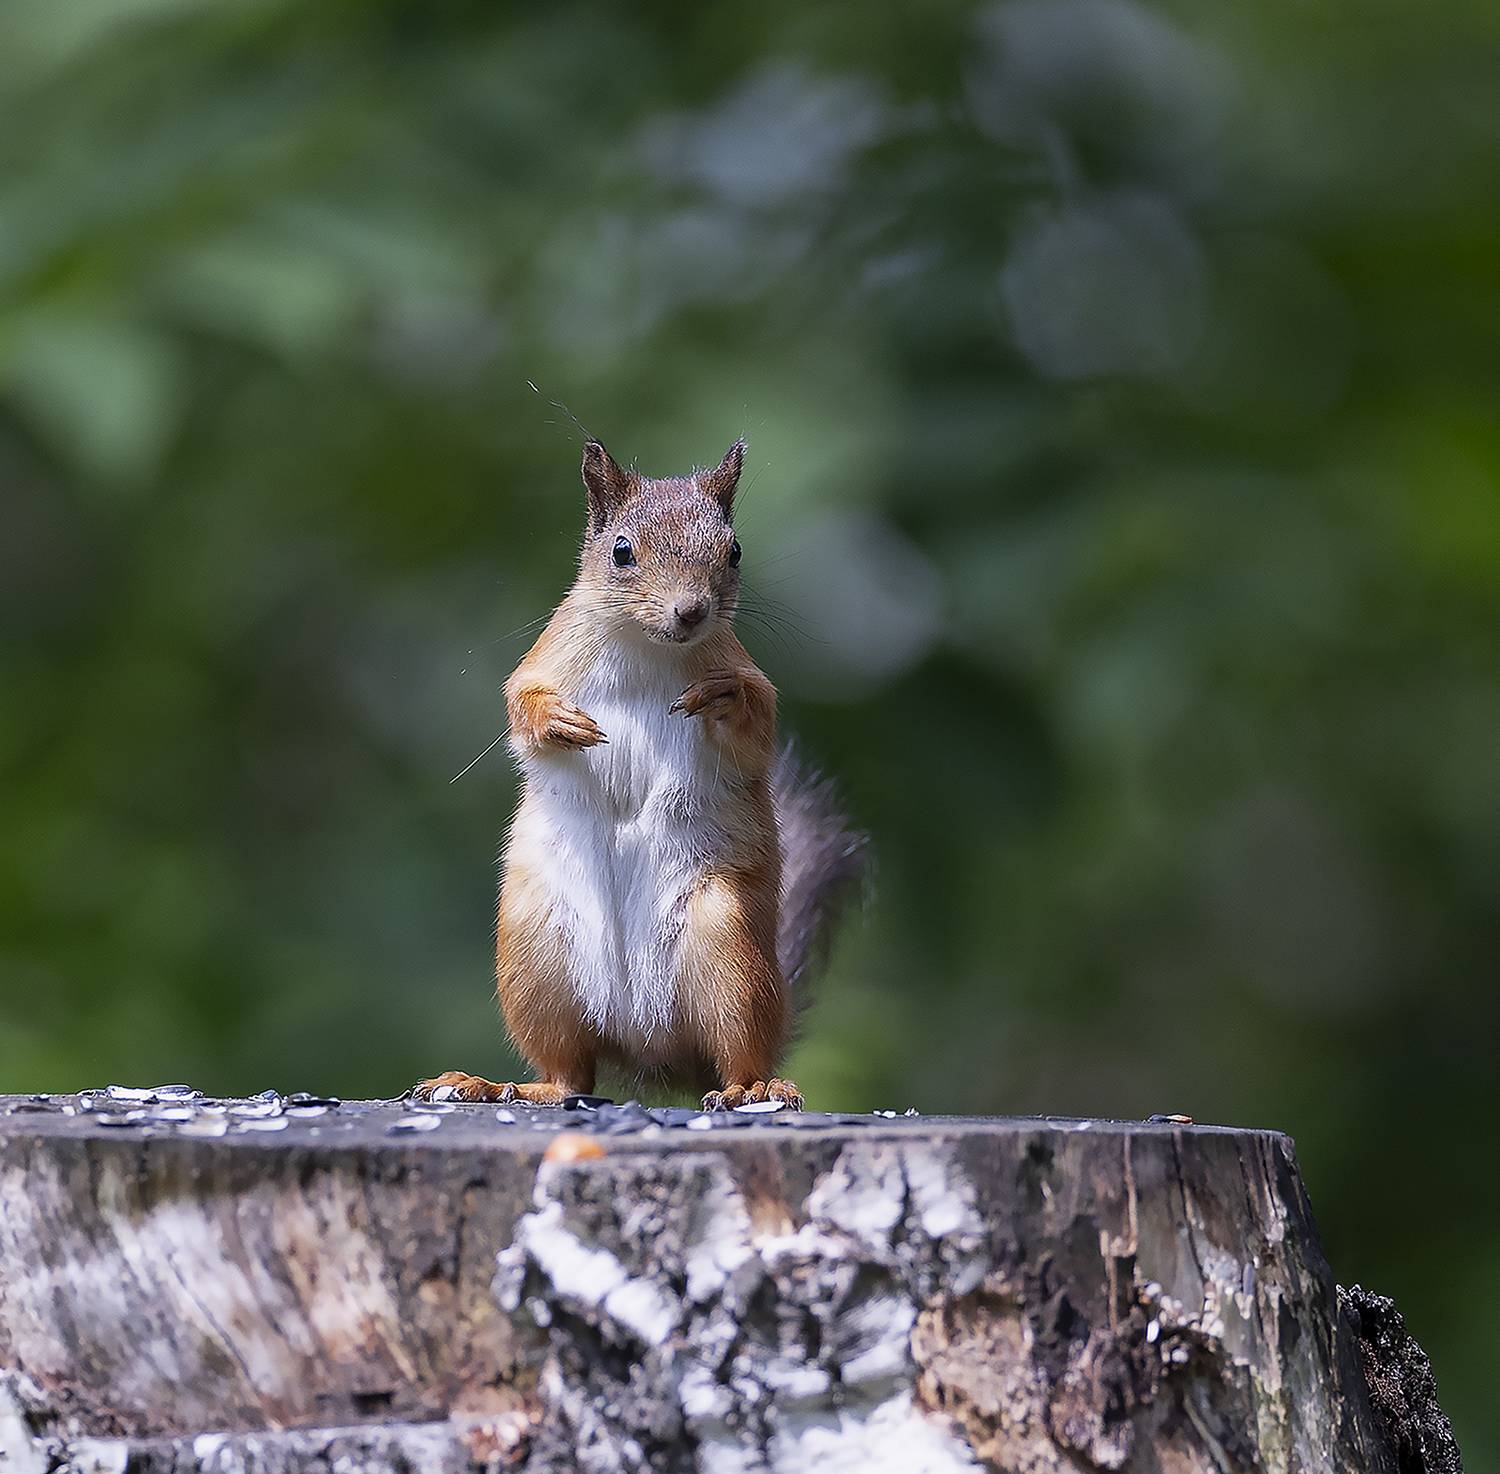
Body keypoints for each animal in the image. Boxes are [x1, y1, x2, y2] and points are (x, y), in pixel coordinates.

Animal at [412, 437, 865, 1111]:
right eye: (621, 551)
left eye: (734, 550)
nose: (692, 611)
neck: (645, 646)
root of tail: (649, 1049)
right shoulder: (545, 656)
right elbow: (521, 704)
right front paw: (558, 721)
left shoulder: (745, 675)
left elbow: (754, 723)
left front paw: (724, 696)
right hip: (536, 953)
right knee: (569, 1073)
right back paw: (493, 1086)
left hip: (728, 946)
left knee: (737, 1052)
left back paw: (756, 1088)